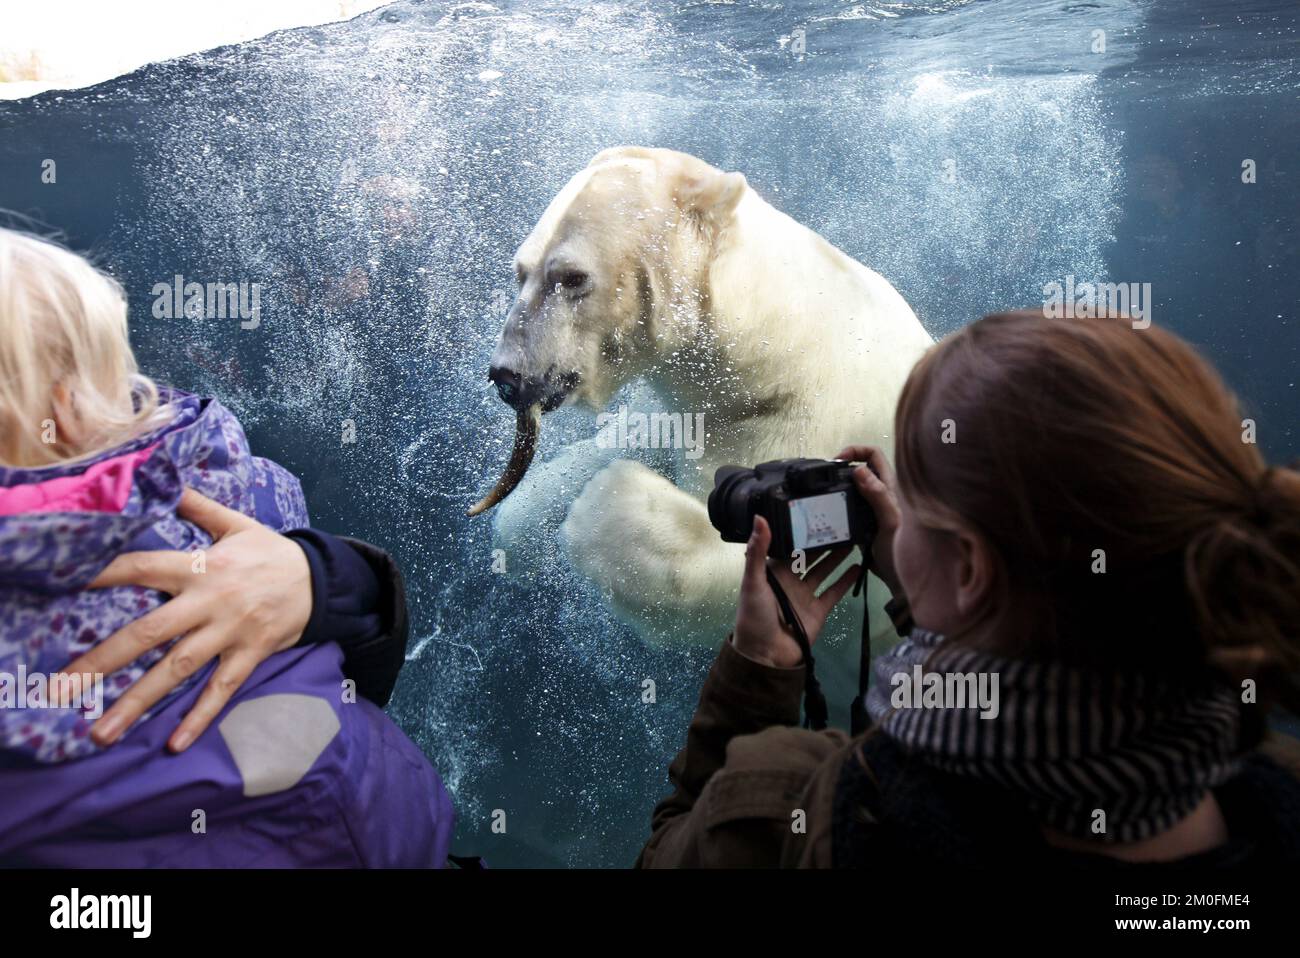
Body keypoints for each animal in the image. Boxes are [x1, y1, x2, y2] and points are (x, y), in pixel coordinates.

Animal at [473, 147, 930, 712]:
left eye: (572, 277)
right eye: (521, 273)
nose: (506, 376)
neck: (777, 346)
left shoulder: (818, 421)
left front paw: (602, 509)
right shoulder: (700, 404)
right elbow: (631, 438)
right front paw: (518, 527)